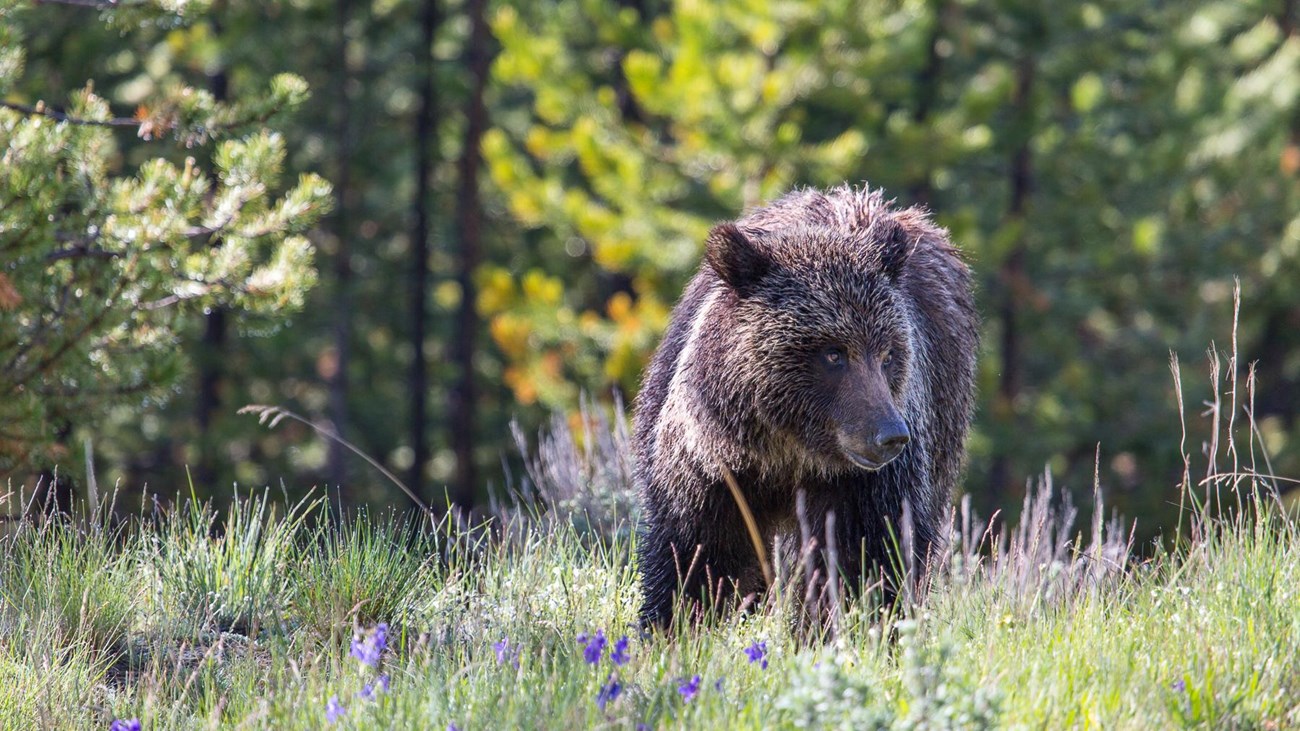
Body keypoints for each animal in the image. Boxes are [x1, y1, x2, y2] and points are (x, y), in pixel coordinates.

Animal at [634, 183, 977, 626]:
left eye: (887, 353)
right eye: (833, 354)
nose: (890, 435)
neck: (786, 452)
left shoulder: (862, 486)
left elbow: (867, 558)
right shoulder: (710, 468)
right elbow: (698, 554)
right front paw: (674, 622)